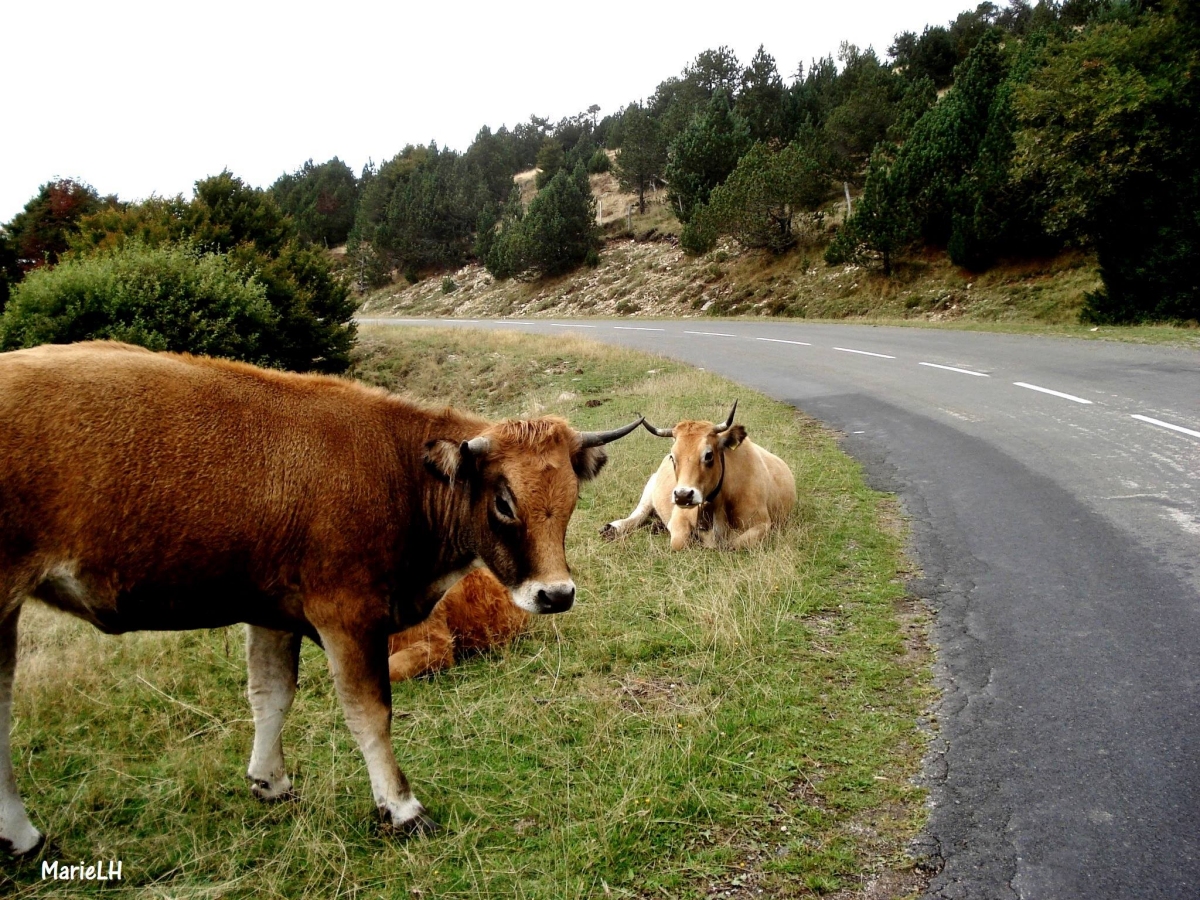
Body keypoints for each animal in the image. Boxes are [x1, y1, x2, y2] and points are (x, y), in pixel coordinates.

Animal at [600, 400, 796, 549]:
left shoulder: (762, 524)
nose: (683, 495)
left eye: (708, 455)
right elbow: (679, 542)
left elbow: (732, 545)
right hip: (651, 485)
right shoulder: (678, 519)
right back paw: (614, 528)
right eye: (673, 456)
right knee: (639, 513)